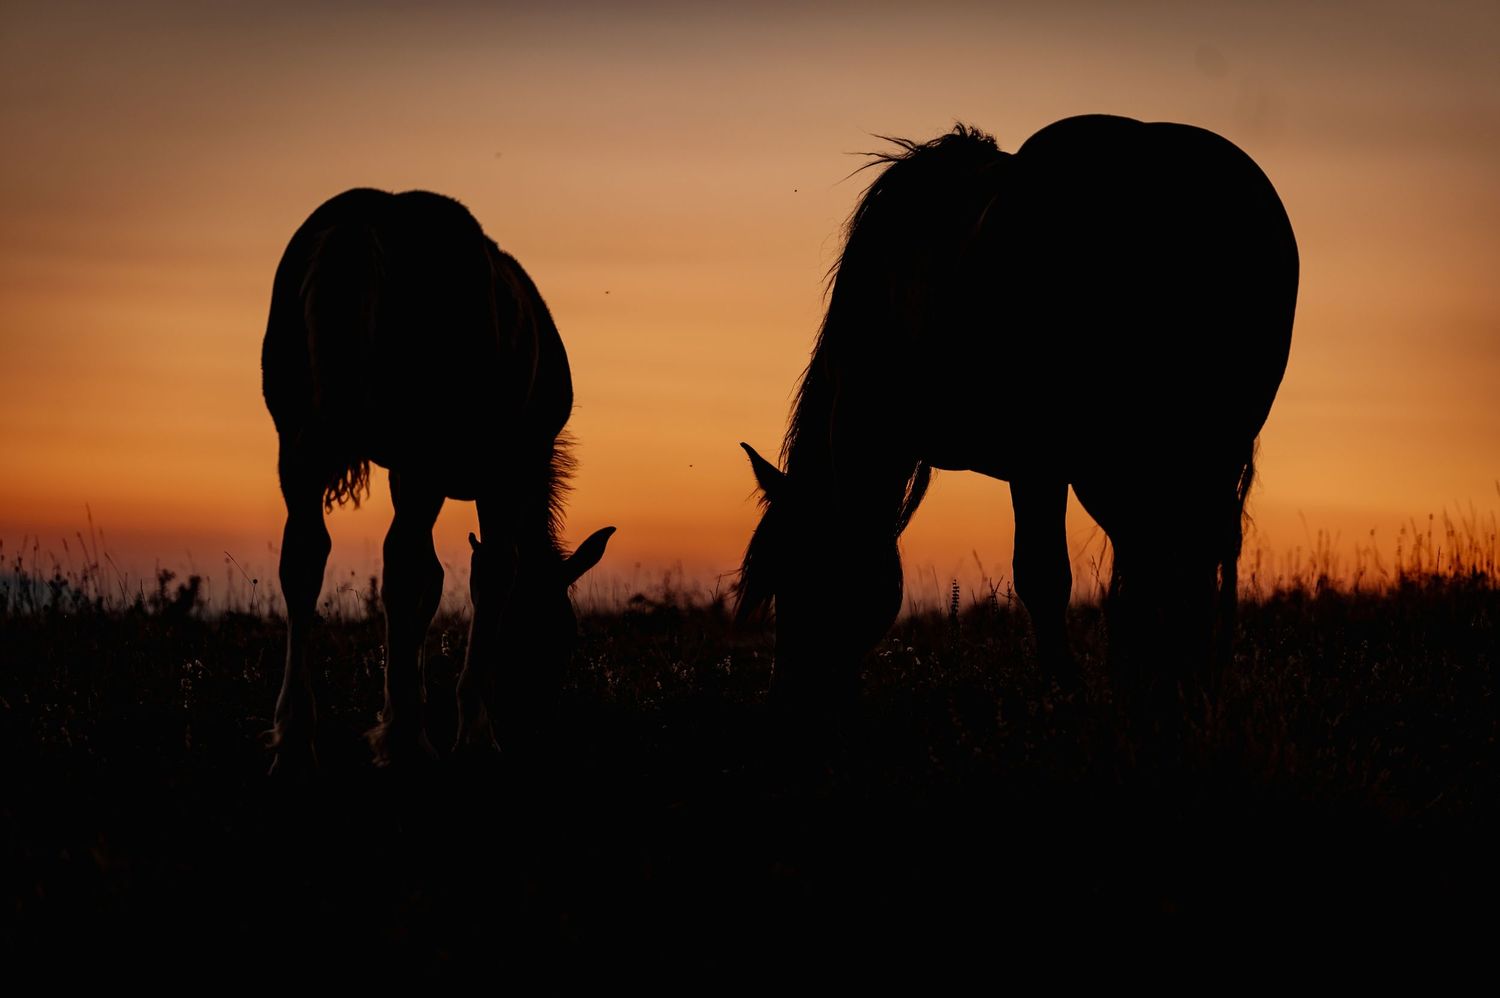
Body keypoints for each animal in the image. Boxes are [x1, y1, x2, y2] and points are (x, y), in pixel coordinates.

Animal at [261, 188, 613, 772]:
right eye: (562, 635)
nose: (535, 724)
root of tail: (363, 217)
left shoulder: (405, 473)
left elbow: (431, 582)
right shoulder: (505, 473)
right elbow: (491, 574)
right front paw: (471, 731)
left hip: (299, 441)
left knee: (305, 558)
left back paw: (295, 741)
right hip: (421, 450)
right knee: (397, 562)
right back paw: (407, 741)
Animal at [737, 115, 1298, 732]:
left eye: (798, 573)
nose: (789, 703)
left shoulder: (1036, 463)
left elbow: (1043, 576)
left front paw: (1069, 695)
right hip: (1202, 445)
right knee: (1192, 553)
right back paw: (1183, 688)